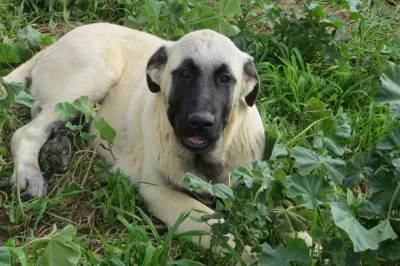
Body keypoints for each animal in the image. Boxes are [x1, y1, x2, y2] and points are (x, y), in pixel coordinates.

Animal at [4, 23, 266, 260]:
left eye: (225, 78)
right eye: (184, 73)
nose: (201, 122)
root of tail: (59, 40)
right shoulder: (159, 192)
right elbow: (221, 232)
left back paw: (58, 148)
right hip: (97, 74)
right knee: (26, 132)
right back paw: (29, 174)